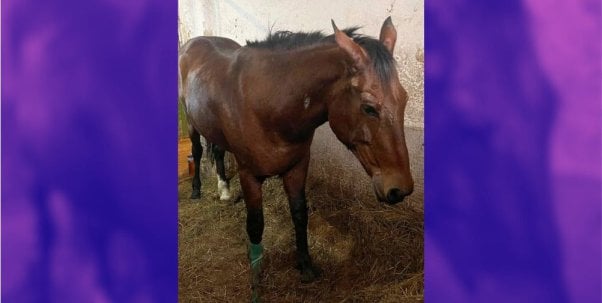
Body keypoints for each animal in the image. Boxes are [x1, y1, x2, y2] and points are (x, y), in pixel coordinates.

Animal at [178, 14, 412, 296]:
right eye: (369, 108)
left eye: (404, 99)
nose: (400, 189)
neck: (268, 103)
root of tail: (193, 42)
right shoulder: (249, 175)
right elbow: (255, 225)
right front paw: (257, 282)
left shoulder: (298, 167)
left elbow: (300, 215)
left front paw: (305, 266)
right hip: (191, 120)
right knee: (198, 150)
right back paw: (196, 190)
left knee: (218, 151)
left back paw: (224, 189)